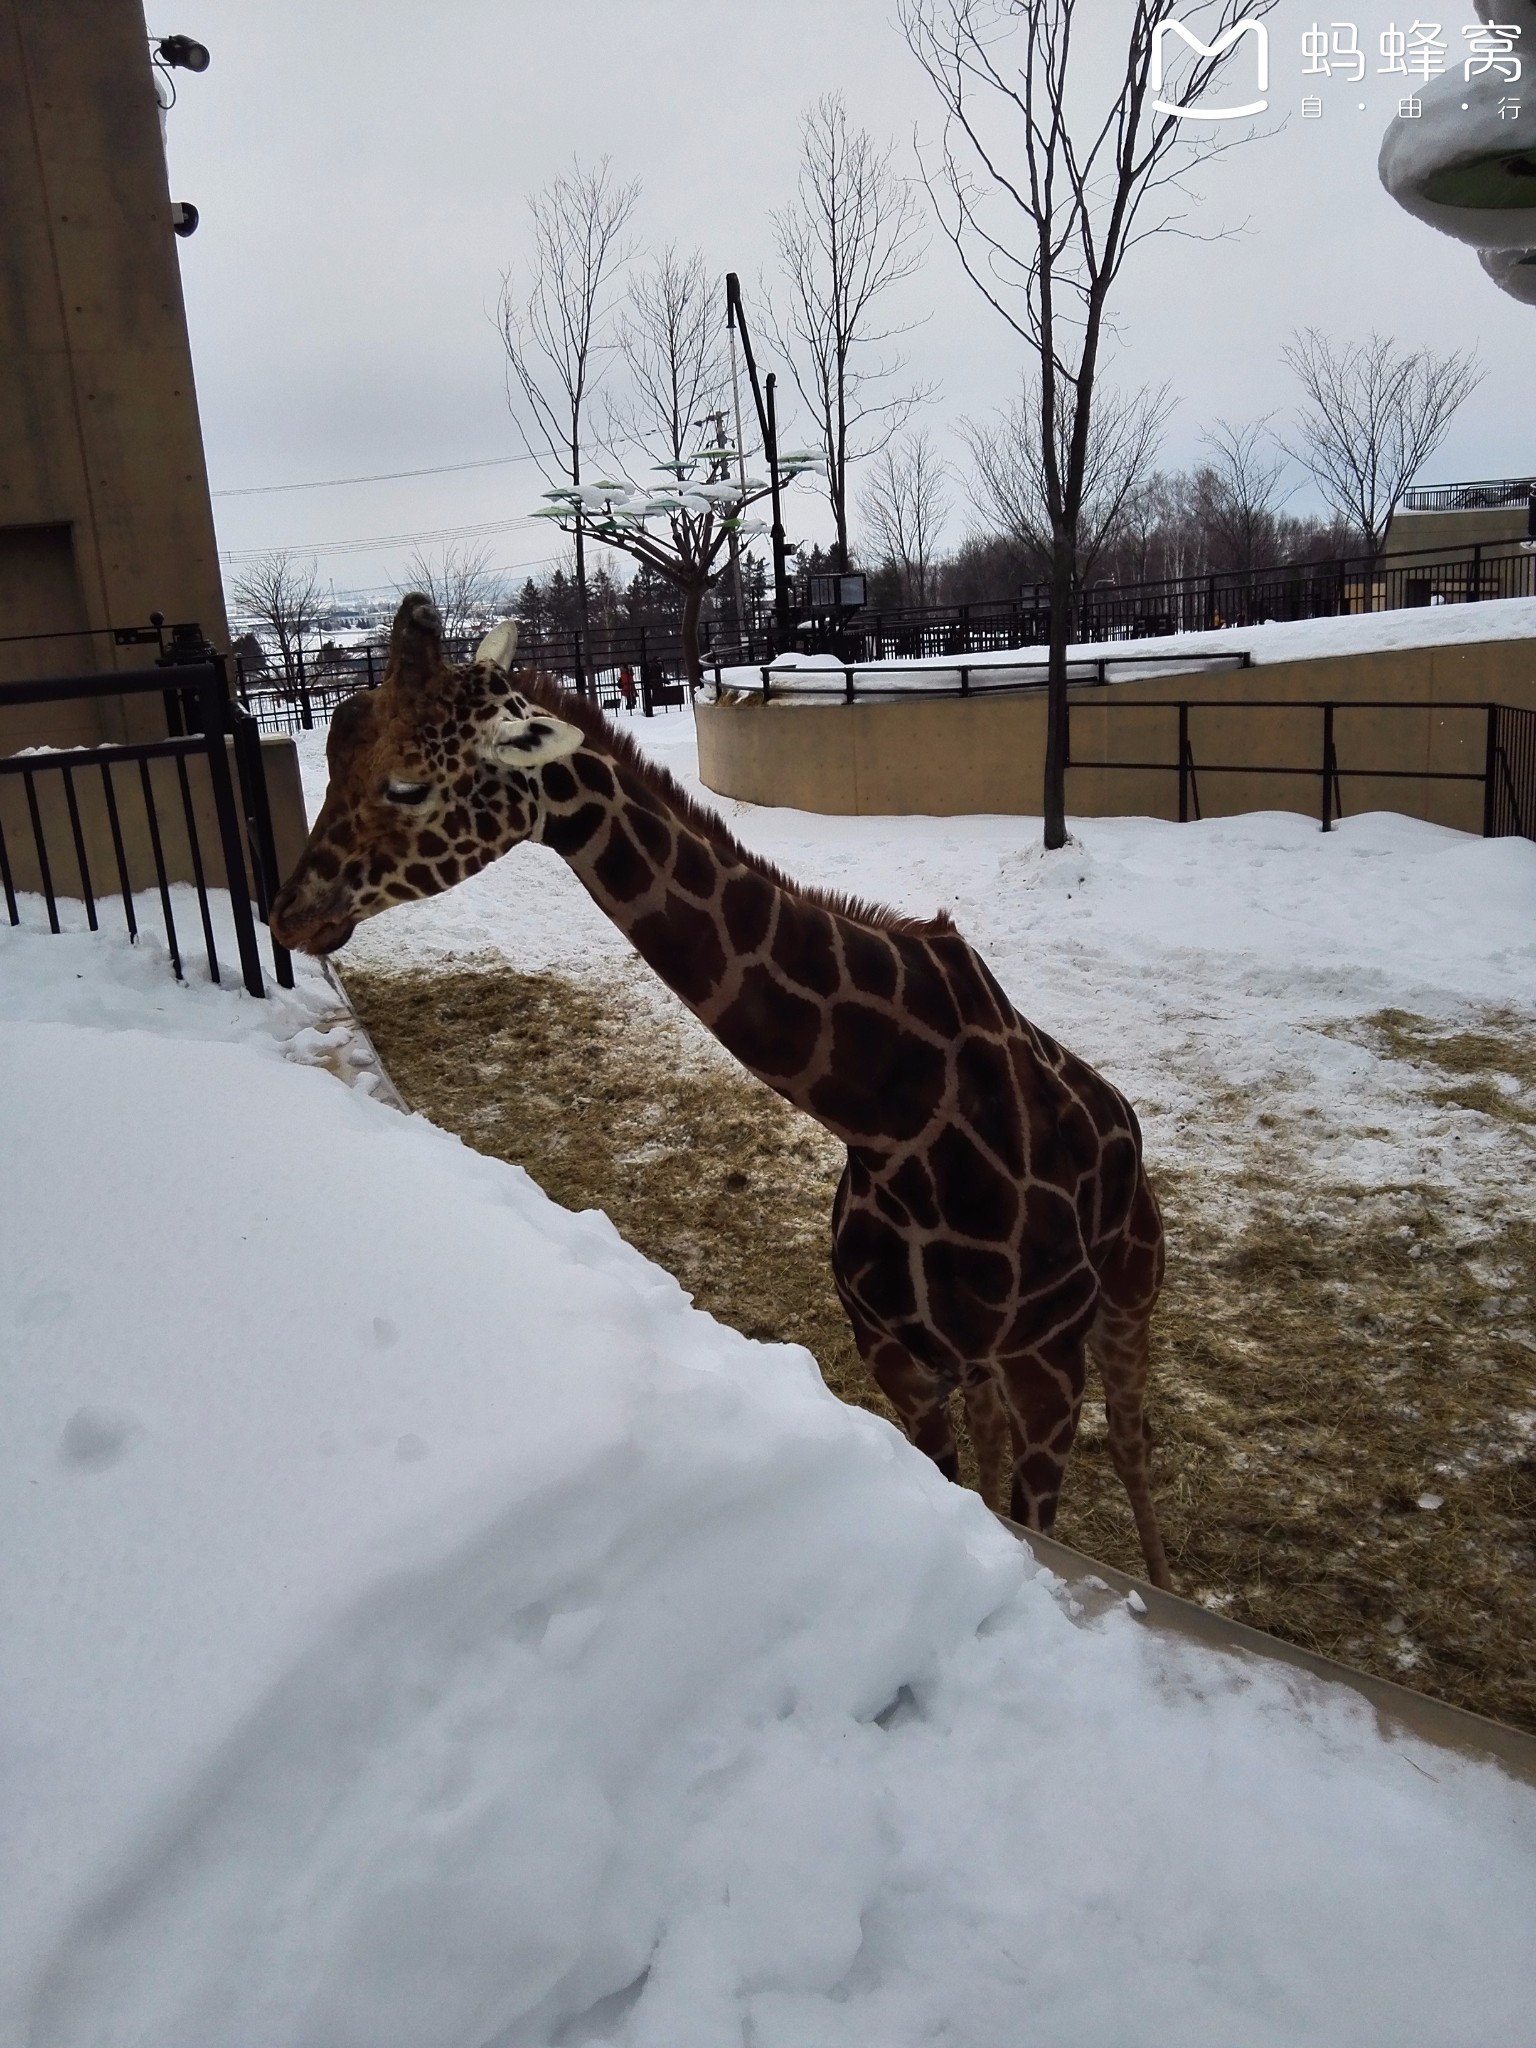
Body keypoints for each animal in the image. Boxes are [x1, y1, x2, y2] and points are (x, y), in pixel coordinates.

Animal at [270, 593, 1171, 1581]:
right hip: (983, 1359)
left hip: (1129, 1291)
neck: (898, 1118)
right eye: (336, 751)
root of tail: (1124, 1117)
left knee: (1133, 1441)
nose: (288, 914)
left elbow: (1044, 1513)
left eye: (404, 786)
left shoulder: (1045, 1368)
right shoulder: (897, 1356)